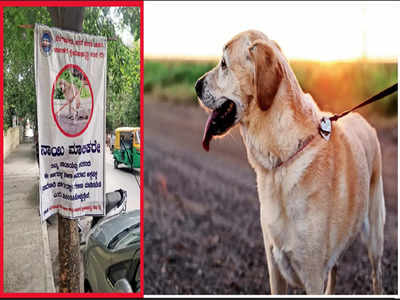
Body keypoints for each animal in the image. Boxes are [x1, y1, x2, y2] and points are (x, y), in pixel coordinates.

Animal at [195, 29, 386, 292]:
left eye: (223, 63)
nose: (196, 86)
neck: (280, 162)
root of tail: (363, 119)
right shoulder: (275, 268)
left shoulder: (312, 276)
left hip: (375, 237)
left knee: (376, 275)